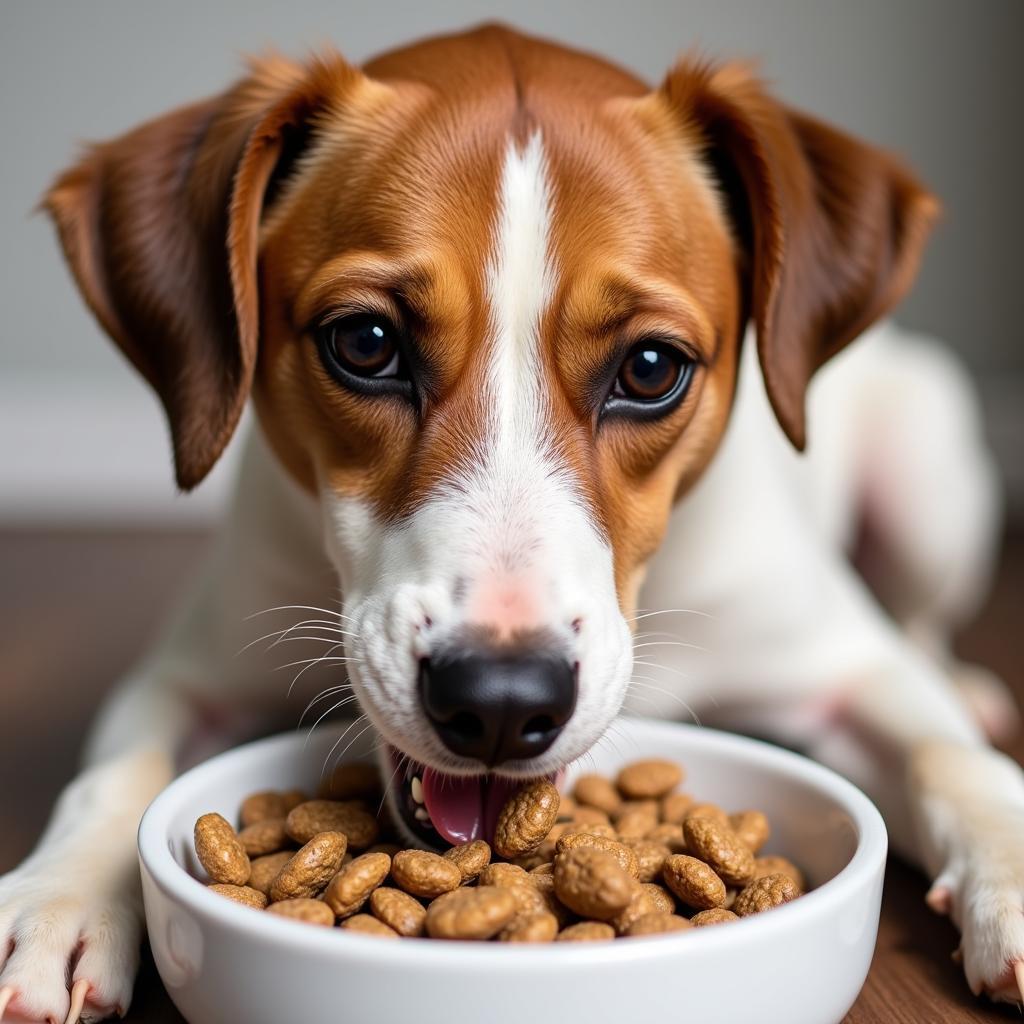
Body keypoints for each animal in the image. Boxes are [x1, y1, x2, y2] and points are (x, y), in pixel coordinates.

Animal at [2, 24, 1024, 1024]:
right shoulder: (192, 672)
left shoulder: (840, 661)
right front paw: (59, 899)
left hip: (928, 472)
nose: (498, 701)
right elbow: (118, 770)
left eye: (651, 367)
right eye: (365, 343)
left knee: (924, 622)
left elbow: (951, 760)